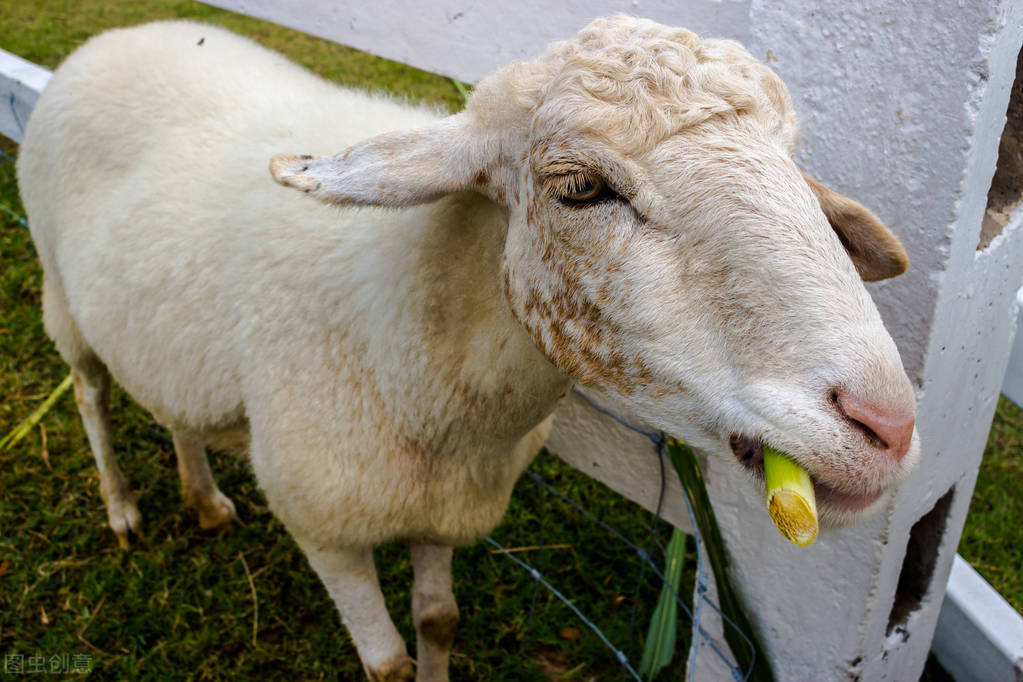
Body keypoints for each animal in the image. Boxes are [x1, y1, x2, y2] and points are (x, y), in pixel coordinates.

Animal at [19, 15, 924, 682]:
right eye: (579, 187)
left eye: (794, 165)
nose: (886, 425)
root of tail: (127, 30)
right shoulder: (322, 520)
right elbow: (385, 663)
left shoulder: (448, 509)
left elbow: (439, 620)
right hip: (61, 293)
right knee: (91, 393)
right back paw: (122, 507)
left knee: (170, 406)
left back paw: (202, 497)